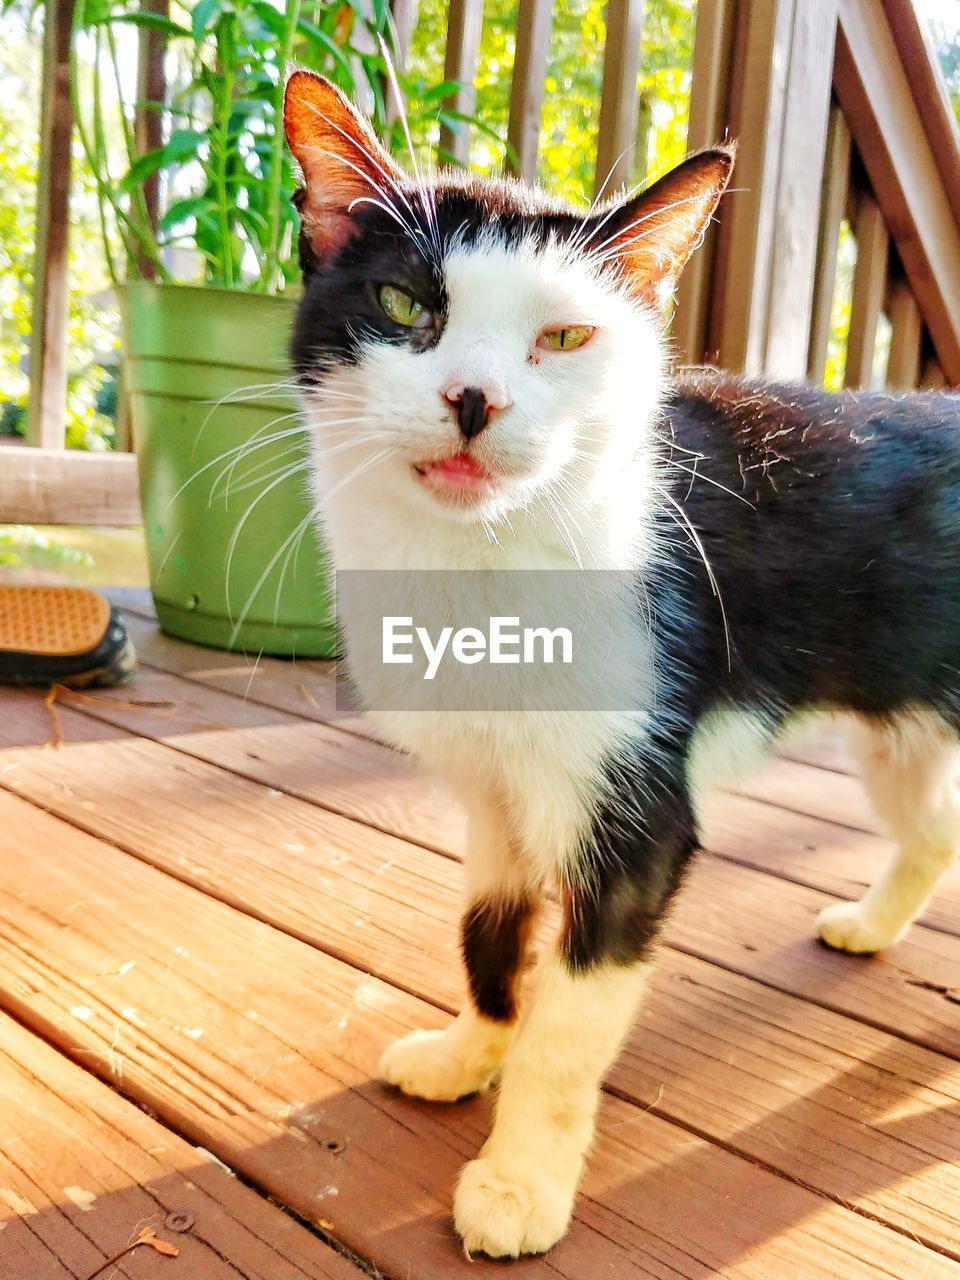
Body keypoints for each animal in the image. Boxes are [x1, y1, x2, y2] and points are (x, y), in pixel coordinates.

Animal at [281, 72, 957, 1259]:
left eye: (564, 336)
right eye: (405, 303)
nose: (473, 399)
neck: (485, 570)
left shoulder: (638, 811)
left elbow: (572, 1023)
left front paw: (521, 1182)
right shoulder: (495, 790)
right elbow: (488, 929)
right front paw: (467, 1053)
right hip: (903, 724)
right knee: (935, 827)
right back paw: (870, 926)